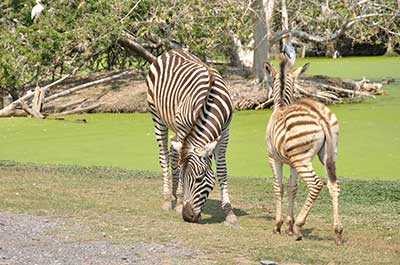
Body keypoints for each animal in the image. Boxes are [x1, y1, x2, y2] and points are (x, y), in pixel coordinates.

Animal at [145, 48, 238, 225]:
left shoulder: (225, 133)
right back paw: (168, 199)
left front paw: (229, 212)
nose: (187, 216)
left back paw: (175, 194)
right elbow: (179, 164)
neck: (210, 101)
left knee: (173, 152)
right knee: (164, 155)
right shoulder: (184, 129)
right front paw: (180, 203)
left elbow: (222, 170)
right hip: (157, 116)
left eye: (200, 179)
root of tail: (171, 51)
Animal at [264, 50, 342, 243]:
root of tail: (320, 115)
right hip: (328, 156)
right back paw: (338, 231)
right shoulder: (291, 162)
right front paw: (288, 226)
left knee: (316, 184)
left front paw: (279, 225)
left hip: (302, 160)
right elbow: (292, 188)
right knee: (333, 185)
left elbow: (279, 187)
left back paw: (299, 227)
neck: (281, 106)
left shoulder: (274, 158)